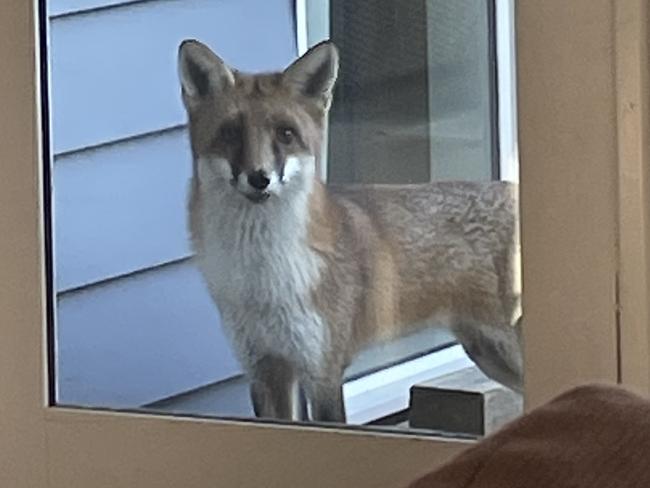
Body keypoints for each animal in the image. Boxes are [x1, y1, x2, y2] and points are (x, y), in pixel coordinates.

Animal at [177, 40, 520, 422]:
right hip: (488, 352)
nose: (259, 178)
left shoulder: (323, 372)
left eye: (285, 134)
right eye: (230, 133)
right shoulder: (265, 369)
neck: (263, 278)